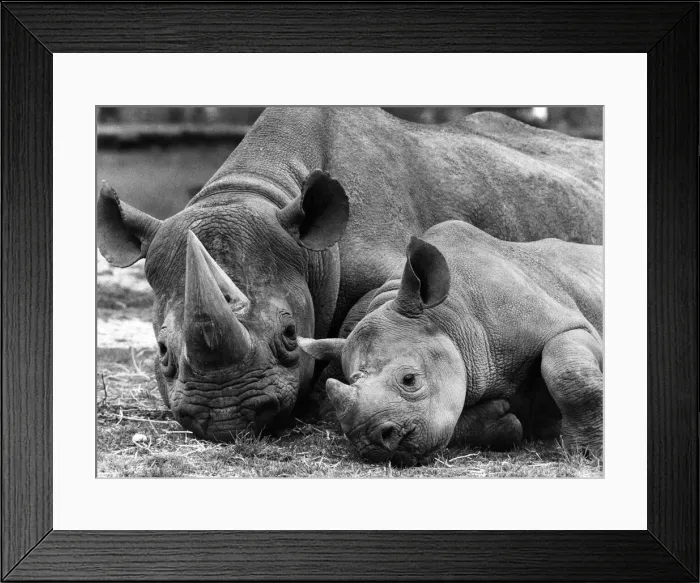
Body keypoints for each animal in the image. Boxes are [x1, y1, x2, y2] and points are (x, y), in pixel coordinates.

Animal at [299, 220, 603, 465]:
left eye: (409, 379)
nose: (371, 442)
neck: (450, 316)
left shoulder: (568, 325)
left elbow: (567, 373)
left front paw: (588, 453)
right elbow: (451, 421)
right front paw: (502, 420)